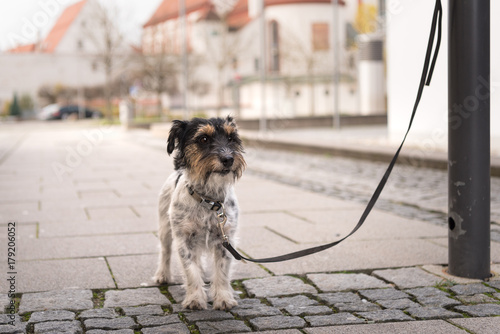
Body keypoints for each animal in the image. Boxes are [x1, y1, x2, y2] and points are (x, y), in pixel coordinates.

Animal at [153, 115, 245, 310]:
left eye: (231, 138)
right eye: (203, 139)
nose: (228, 159)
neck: (209, 200)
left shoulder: (226, 240)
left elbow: (222, 272)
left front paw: (223, 299)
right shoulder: (184, 240)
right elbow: (190, 271)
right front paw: (195, 299)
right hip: (165, 228)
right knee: (165, 251)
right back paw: (162, 275)